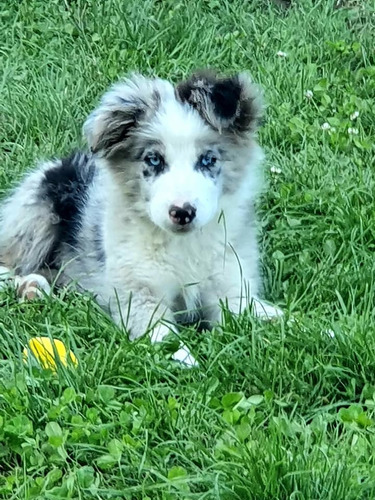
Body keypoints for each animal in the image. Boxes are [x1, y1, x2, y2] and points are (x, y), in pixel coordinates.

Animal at [0, 70, 282, 366]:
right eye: (154, 159)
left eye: (208, 160)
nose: (182, 212)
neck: (183, 246)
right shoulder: (138, 292)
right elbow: (164, 337)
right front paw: (186, 362)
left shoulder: (230, 285)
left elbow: (246, 312)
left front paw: (277, 319)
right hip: (37, 212)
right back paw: (24, 284)